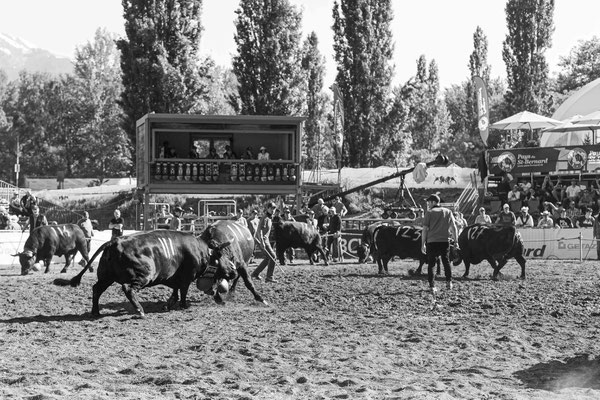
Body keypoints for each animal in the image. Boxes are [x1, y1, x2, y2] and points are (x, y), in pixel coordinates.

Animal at [53, 230, 234, 318]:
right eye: (224, 256)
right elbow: (182, 292)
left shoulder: (175, 279)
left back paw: (96, 312)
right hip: (143, 275)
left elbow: (175, 292)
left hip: (106, 277)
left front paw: (168, 304)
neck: (203, 252)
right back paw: (139, 310)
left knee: (96, 289)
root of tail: (114, 242)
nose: (233, 271)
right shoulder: (186, 277)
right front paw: (183, 306)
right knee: (127, 288)